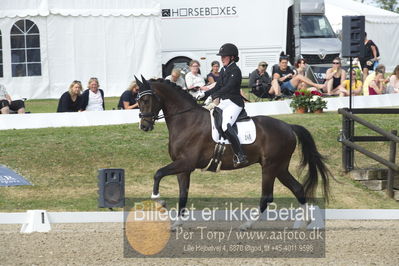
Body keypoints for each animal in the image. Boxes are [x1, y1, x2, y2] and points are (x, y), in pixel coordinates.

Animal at [136, 76, 330, 229]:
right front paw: (177, 223)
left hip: (270, 166)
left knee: (267, 196)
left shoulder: (186, 162)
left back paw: (246, 225)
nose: (144, 126)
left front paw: (159, 200)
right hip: (280, 167)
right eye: (138, 101)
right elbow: (183, 194)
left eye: (146, 100)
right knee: (297, 189)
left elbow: (158, 173)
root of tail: (289, 127)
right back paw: (307, 222)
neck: (186, 120)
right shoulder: (184, 168)